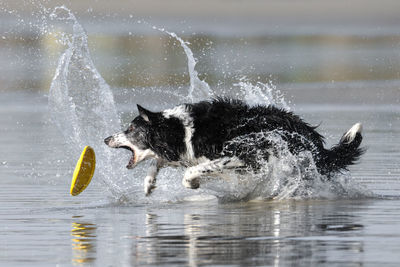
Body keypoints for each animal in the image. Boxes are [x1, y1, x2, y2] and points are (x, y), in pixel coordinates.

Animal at [104, 97, 364, 196]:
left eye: (130, 129)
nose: (106, 139)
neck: (181, 130)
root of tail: (313, 136)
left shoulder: (241, 155)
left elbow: (193, 170)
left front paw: (192, 183)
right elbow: (159, 161)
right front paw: (149, 183)